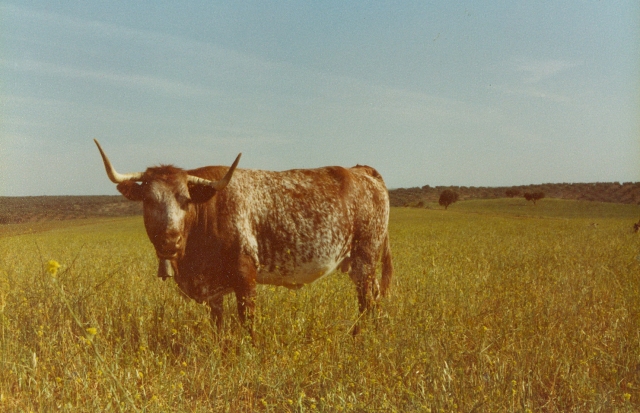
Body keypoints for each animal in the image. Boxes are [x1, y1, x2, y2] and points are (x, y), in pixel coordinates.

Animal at [95, 140, 392, 336]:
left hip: (365, 259)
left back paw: (361, 338)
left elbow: (247, 320)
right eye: (148, 200)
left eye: (186, 200)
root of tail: (362, 171)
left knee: (367, 301)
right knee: (374, 299)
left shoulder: (245, 275)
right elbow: (217, 321)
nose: (170, 241)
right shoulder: (212, 287)